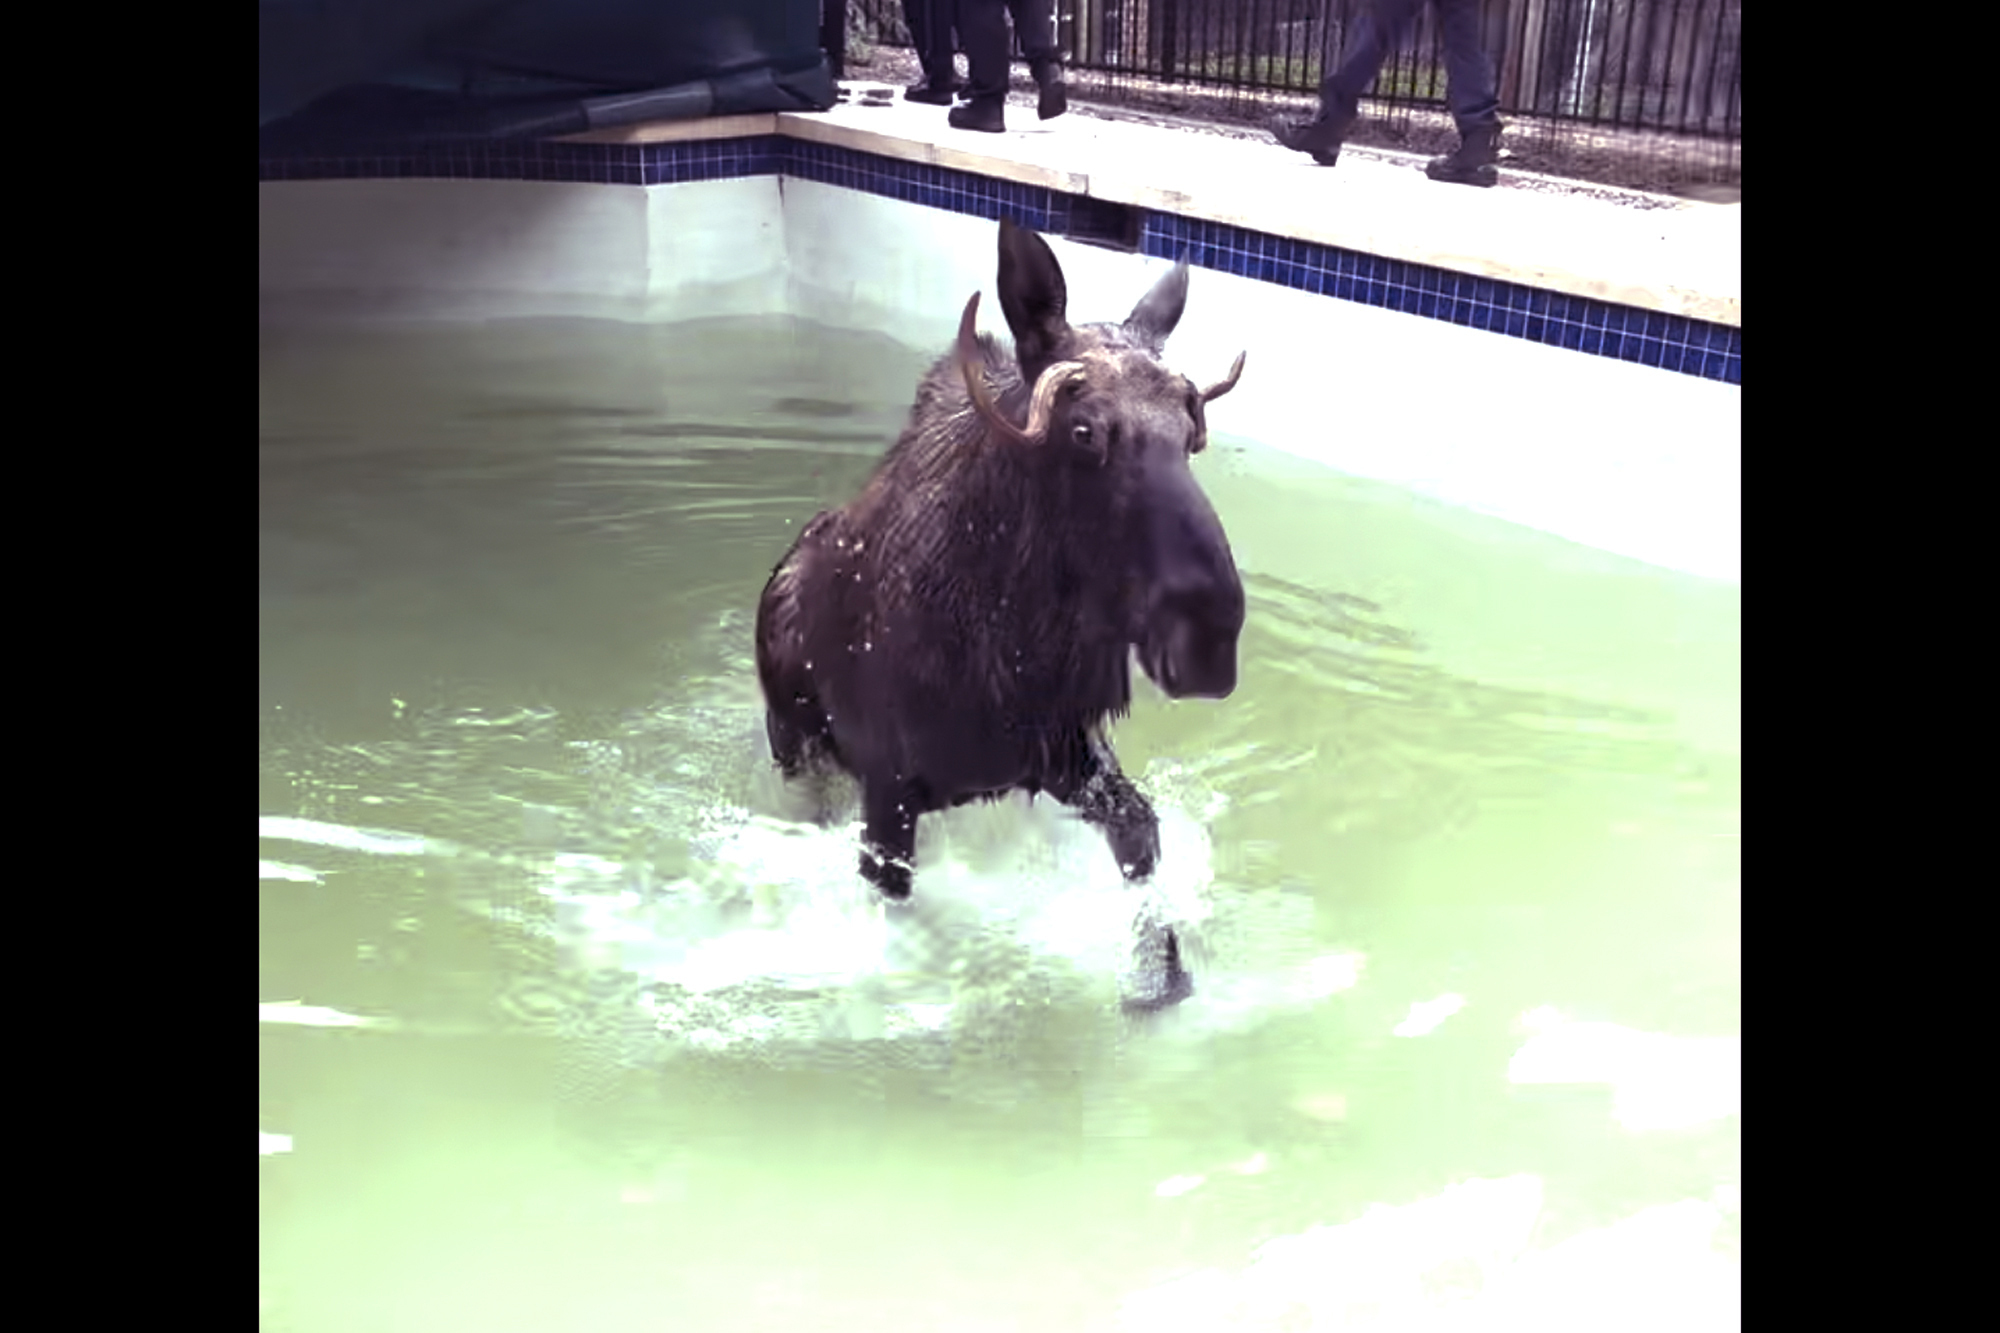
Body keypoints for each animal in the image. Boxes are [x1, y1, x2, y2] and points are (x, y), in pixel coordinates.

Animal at [756, 215, 1240, 1008]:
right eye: (1083, 431)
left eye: (1191, 434)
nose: (1208, 638)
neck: (1014, 644)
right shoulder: (887, 791)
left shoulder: (1063, 755)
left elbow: (1142, 838)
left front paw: (1160, 977)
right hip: (796, 745)